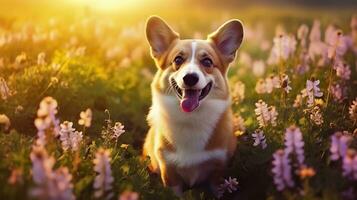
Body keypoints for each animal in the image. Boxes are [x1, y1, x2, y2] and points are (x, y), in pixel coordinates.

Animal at [143, 16, 243, 195]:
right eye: (177, 59)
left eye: (207, 61)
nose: (190, 77)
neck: (191, 119)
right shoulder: (169, 173)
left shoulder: (218, 171)